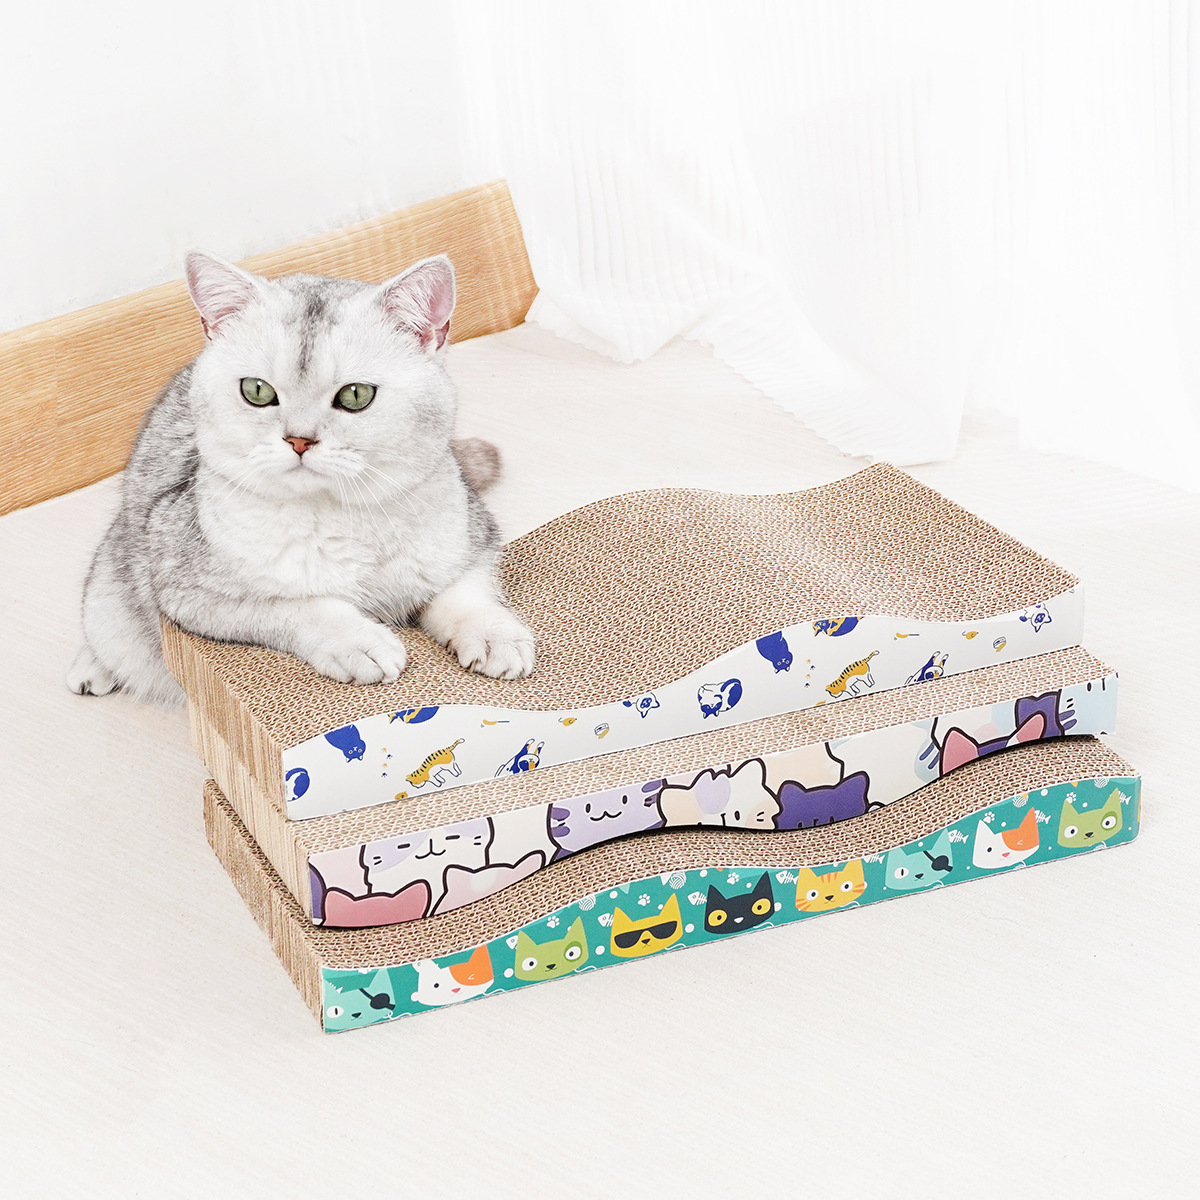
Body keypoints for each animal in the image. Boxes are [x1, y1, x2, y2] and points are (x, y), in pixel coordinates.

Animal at [65, 252, 535, 707]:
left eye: (356, 395)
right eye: (256, 391)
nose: (299, 440)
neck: (344, 517)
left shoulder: (473, 541)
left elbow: (466, 593)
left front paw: (494, 633)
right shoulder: (193, 595)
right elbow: (301, 607)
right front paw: (359, 641)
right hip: (114, 577)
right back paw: (92, 667)